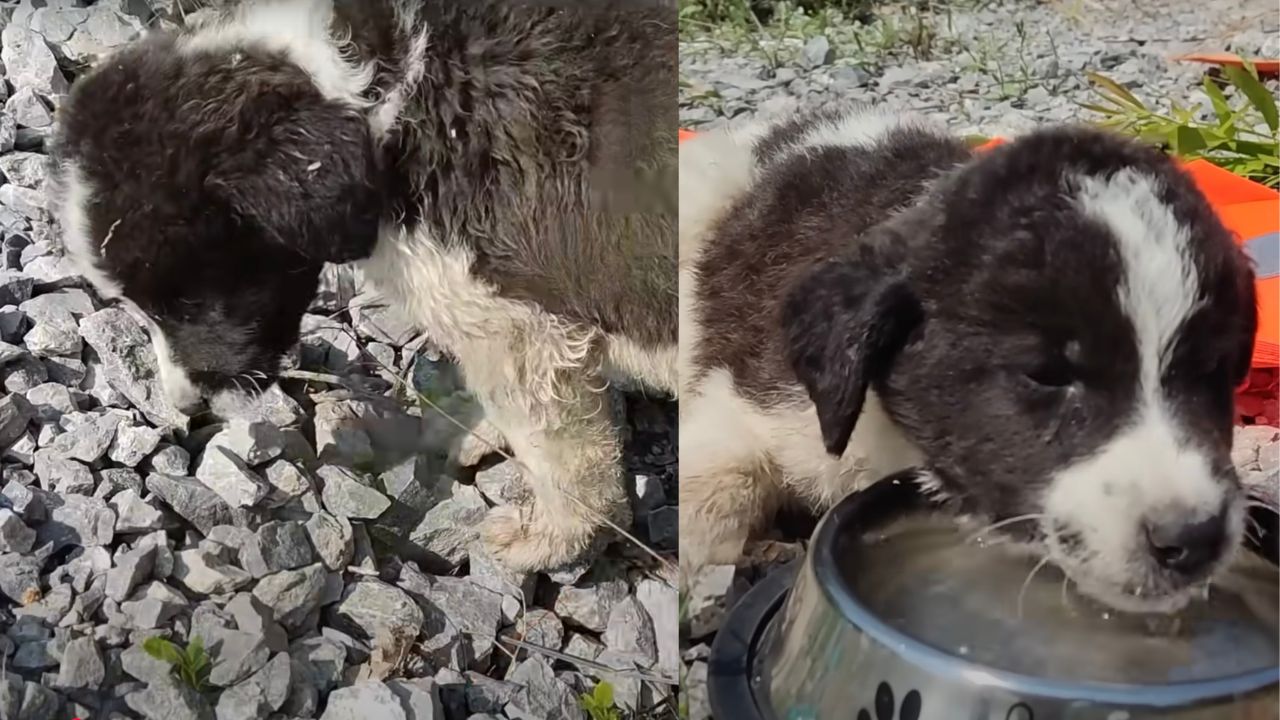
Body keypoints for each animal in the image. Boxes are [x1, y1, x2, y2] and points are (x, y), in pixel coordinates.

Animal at [47, 1, 680, 571]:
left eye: (187, 300)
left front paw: (550, 540)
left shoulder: (517, 326)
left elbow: (559, 449)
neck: (383, 99)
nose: (185, 407)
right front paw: (480, 430)